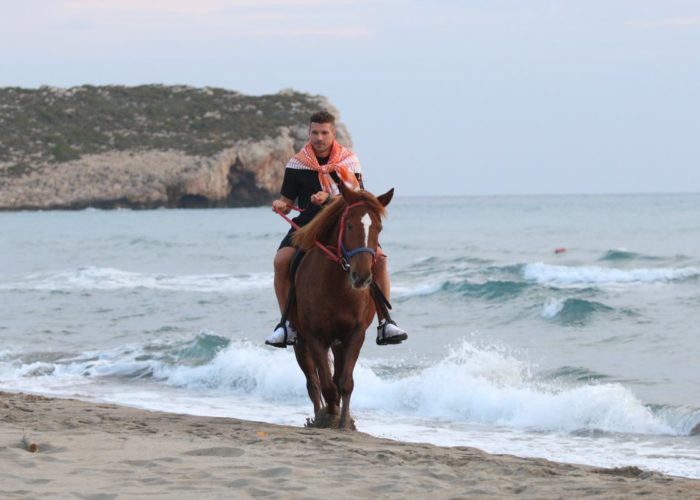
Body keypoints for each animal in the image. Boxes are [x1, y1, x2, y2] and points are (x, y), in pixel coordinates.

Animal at [288, 186, 392, 428]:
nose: (361, 277)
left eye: (379, 227)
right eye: (350, 225)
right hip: (302, 342)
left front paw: (344, 422)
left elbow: (344, 382)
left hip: (337, 342)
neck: (336, 287)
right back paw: (319, 414)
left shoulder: (355, 334)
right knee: (313, 382)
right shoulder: (315, 337)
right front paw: (330, 416)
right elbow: (326, 385)